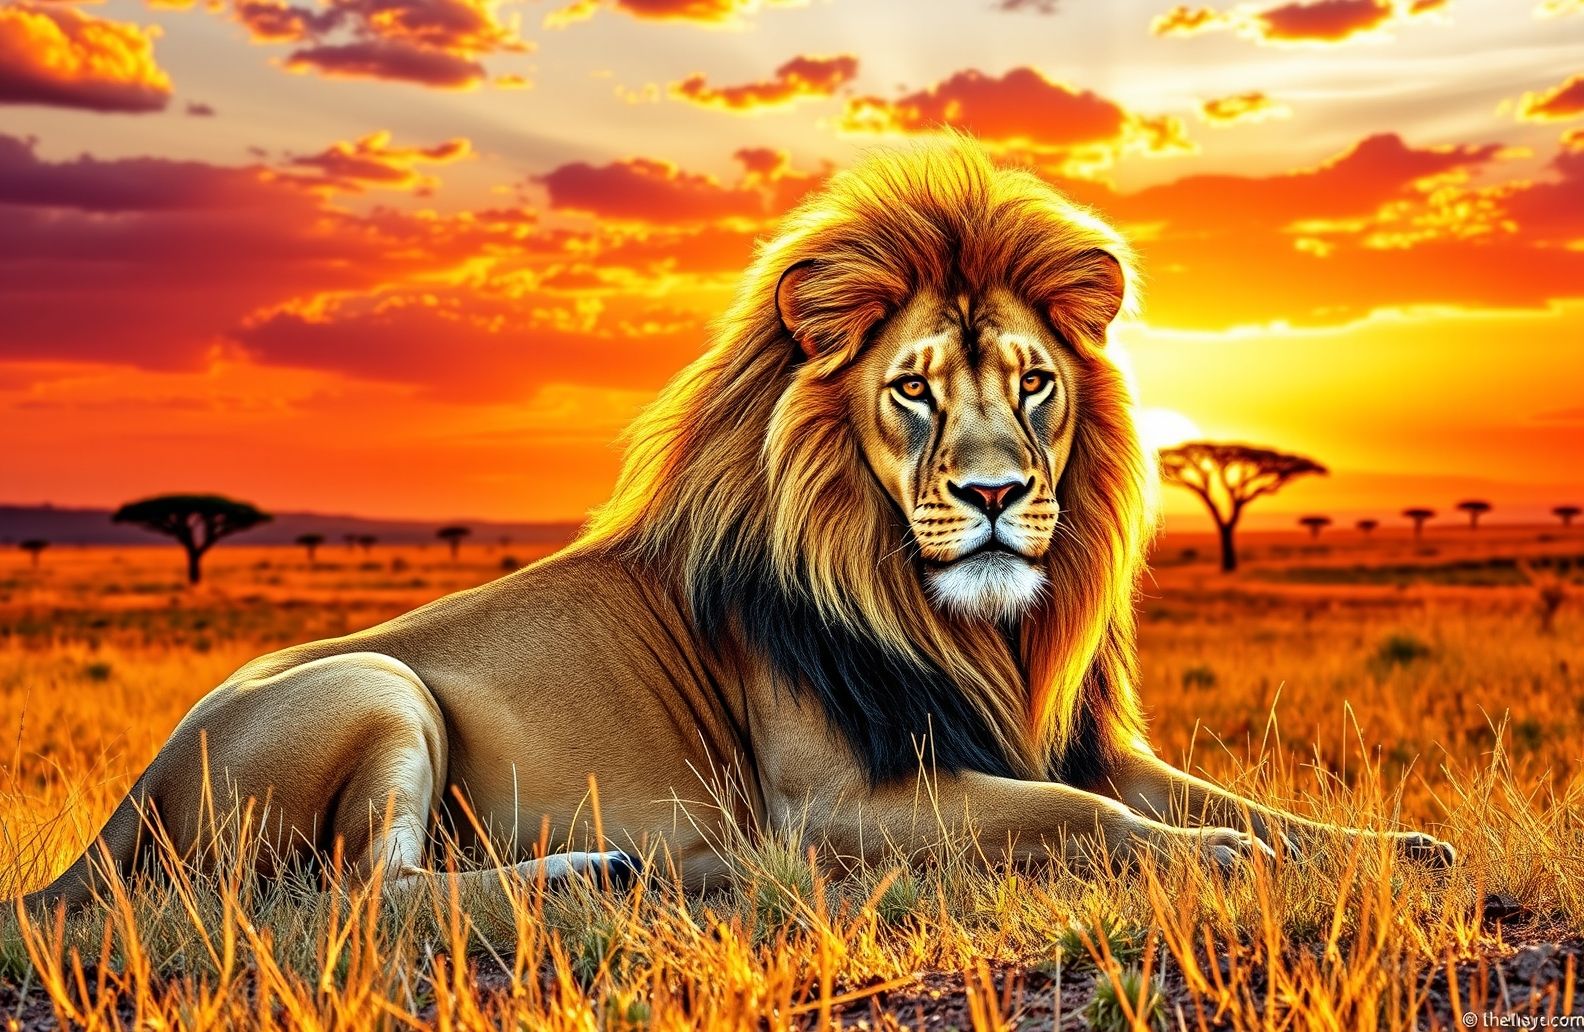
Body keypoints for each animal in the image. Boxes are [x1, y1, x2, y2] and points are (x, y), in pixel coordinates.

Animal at [24, 135, 1453, 911]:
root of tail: (119, 814)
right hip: (377, 685)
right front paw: (1223, 860)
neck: (974, 629)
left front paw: (1396, 849)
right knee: (359, 900)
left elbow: (1244, 799)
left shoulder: (1078, 740)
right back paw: (625, 875)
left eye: (1035, 382)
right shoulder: (844, 800)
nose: (995, 496)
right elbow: (1089, 822)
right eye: (914, 390)